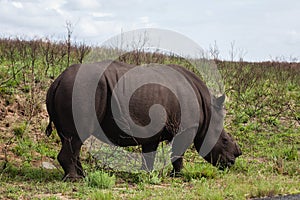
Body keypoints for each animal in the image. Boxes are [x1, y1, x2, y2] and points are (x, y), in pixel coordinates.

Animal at [45, 59, 241, 180]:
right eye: (224, 140)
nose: (233, 160)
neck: (208, 110)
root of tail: (57, 80)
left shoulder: (153, 131)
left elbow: (149, 153)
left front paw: (147, 174)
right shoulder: (187, 127)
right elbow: (178, 153)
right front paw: (178, 176)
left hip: (73, 89)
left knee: (71, 139)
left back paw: (83, 176)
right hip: (80, 90)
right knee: (75, 138)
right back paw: (75, 180)